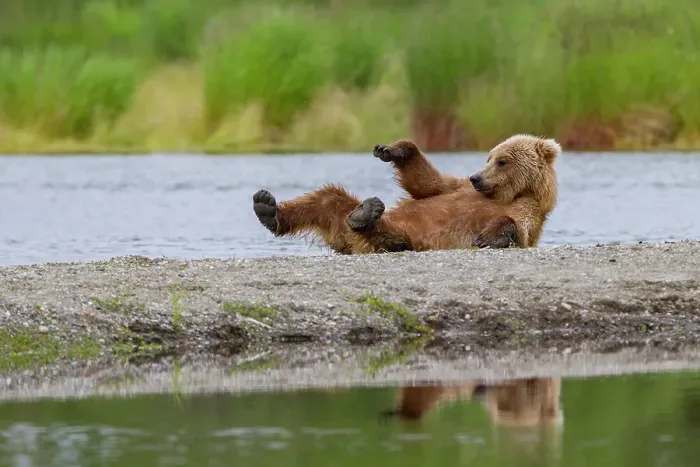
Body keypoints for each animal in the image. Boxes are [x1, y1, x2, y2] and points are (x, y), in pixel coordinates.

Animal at [252, 133, 560, 254]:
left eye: (502, 161)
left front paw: (488, 238)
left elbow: (519, 228)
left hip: (408, 237)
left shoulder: (529, 210)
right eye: (489, 157)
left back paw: (366, 216)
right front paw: (392, 150)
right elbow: (427, 184)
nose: (477, 177)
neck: (505, 194)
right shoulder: (456, 186)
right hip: (339, 218)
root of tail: (350, 241)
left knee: (389, 236)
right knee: (328, 197)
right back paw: (268, 208)